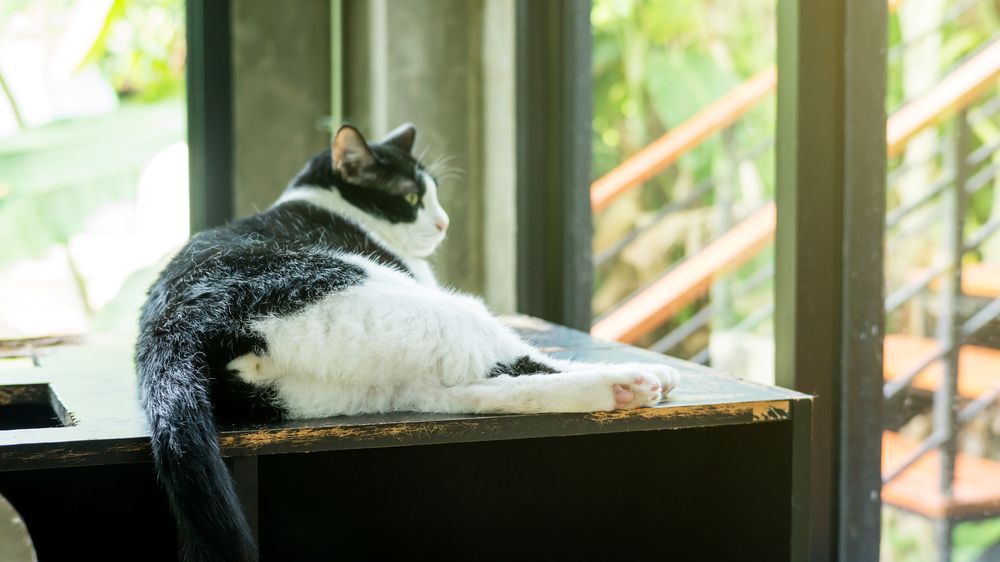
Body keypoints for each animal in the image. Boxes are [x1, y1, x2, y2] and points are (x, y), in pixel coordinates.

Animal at [135, 123, 680, 560]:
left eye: (434, 194)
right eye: (414, 199)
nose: (443, 222)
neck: (319, 200)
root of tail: (174, 327)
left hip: (362, 384)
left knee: (478, 390)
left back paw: (618, 388)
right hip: (438, 306)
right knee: (514, 363)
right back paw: (634, 380)